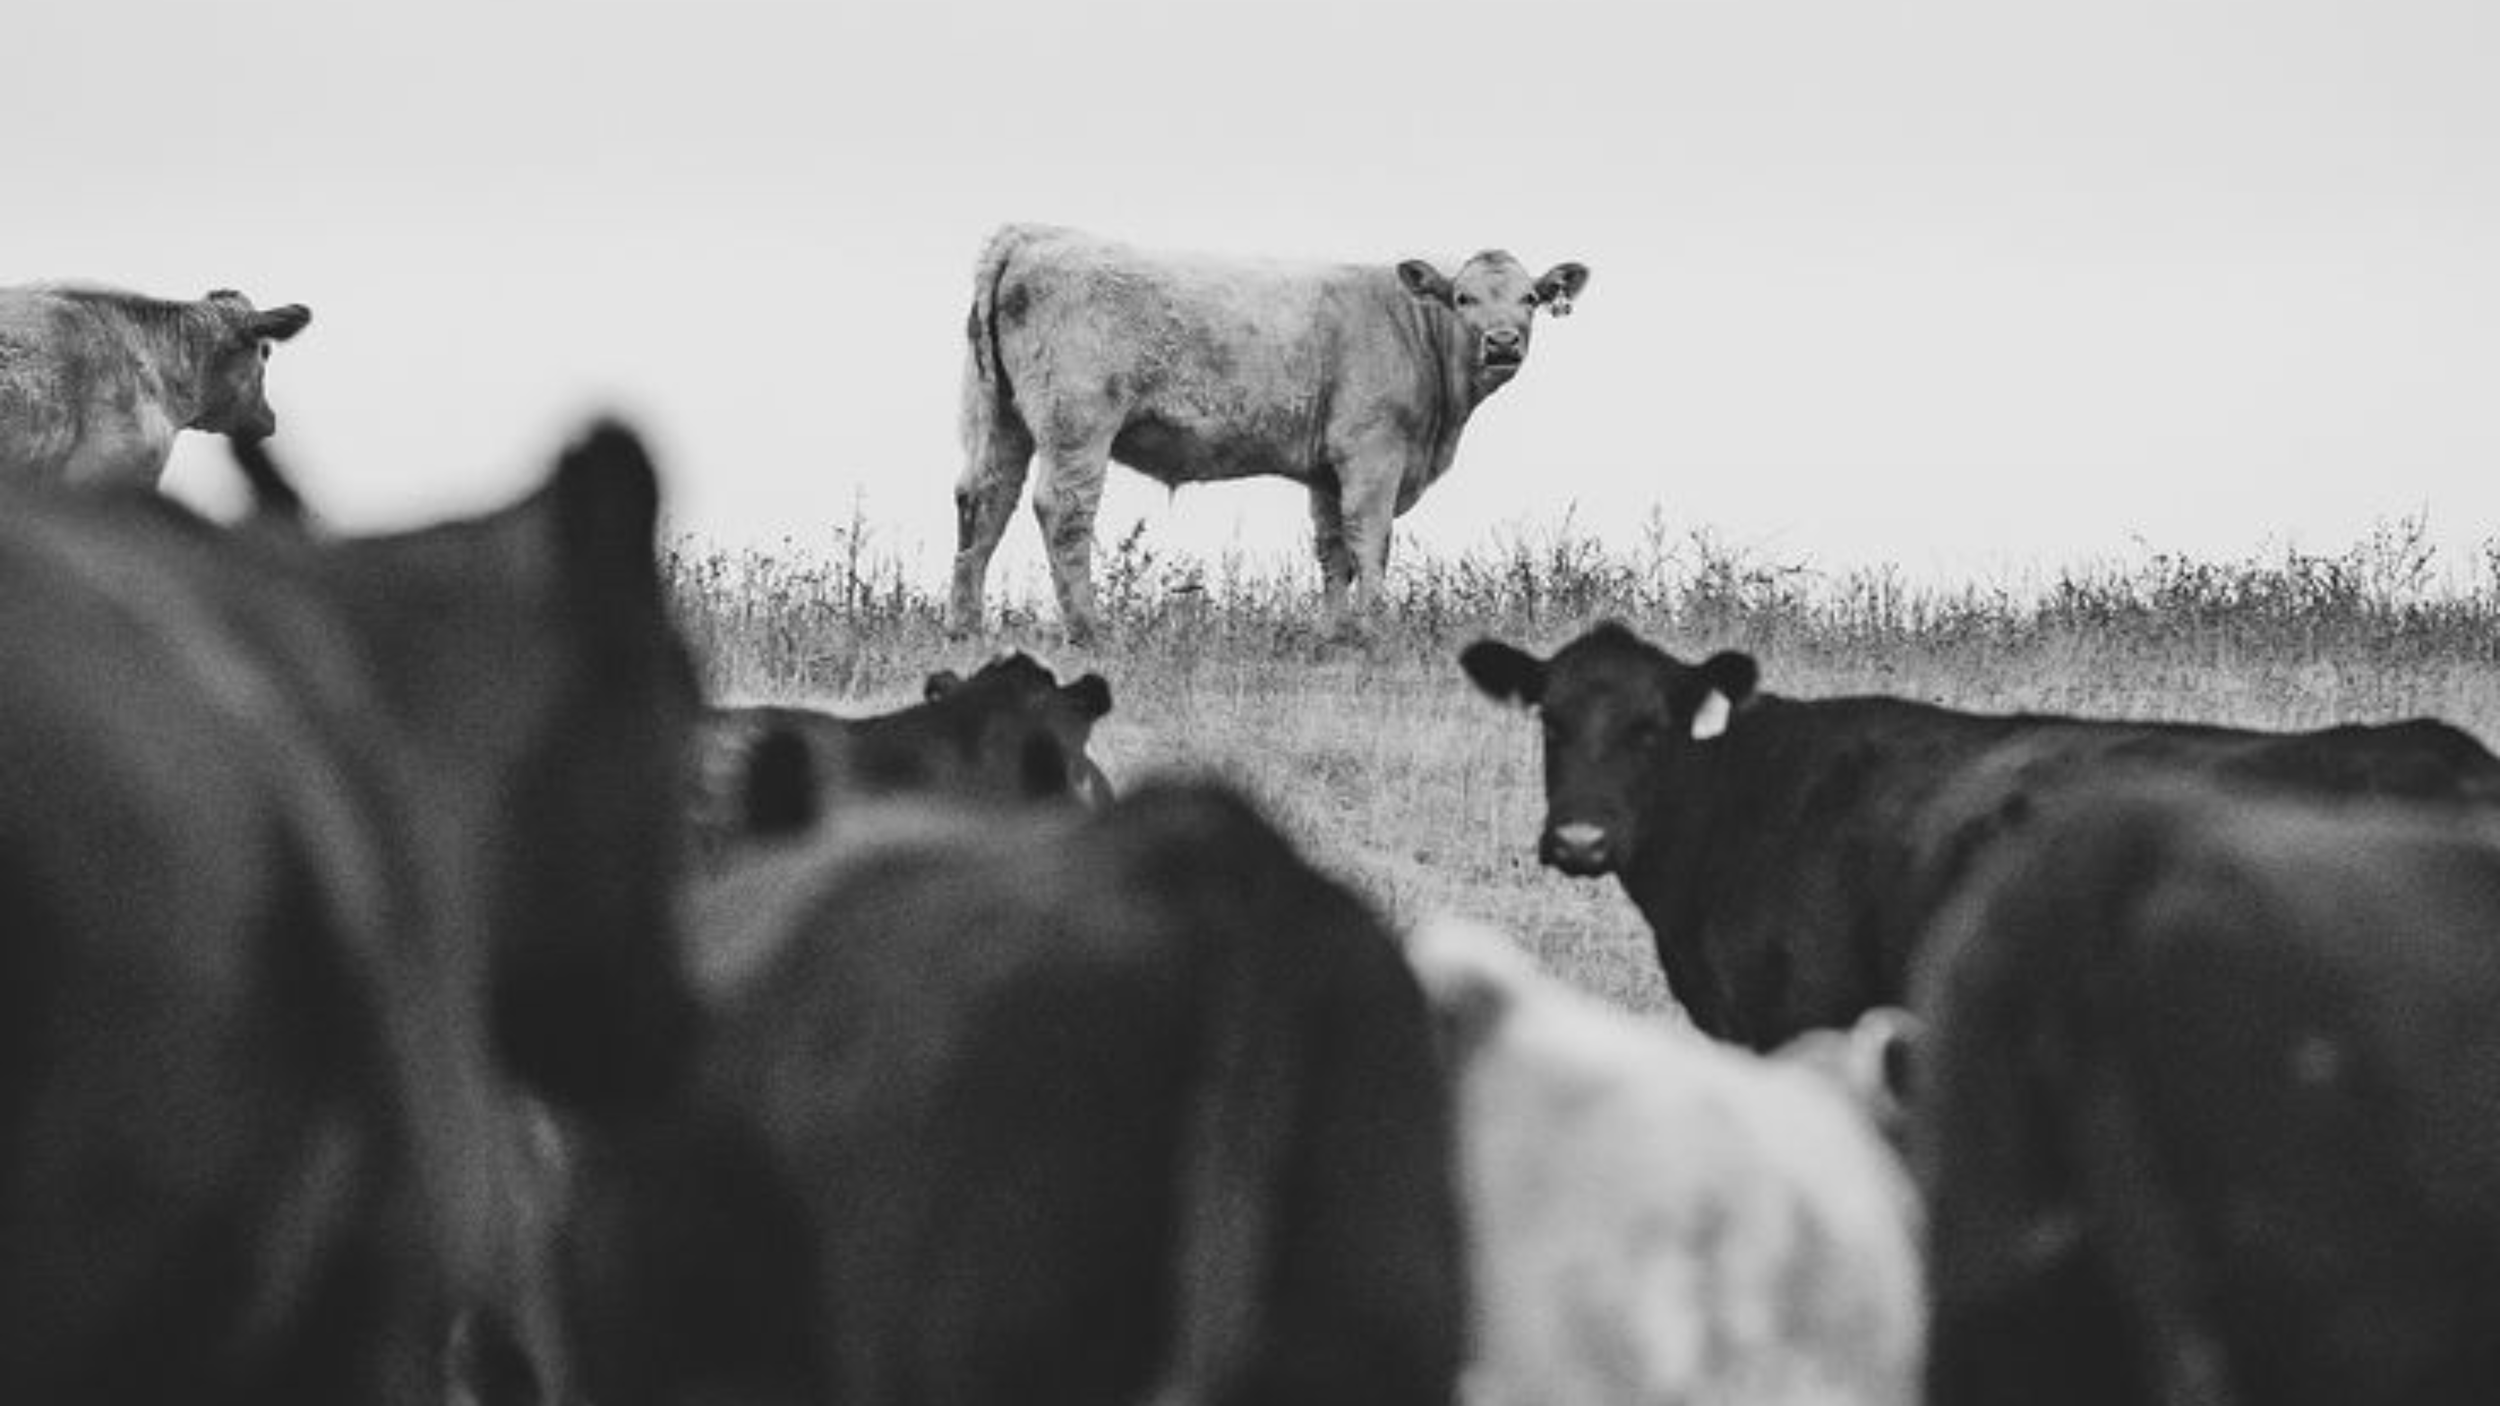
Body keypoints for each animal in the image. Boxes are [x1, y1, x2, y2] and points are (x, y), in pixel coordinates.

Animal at [951, 224, 1590, 642]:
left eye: (1531, 298)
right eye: (1463, 298)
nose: (1503, 342)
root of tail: (1030, 235)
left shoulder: (1327, 470)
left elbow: (1333, 549)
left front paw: (1332, 633)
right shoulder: (1372, 452)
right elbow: (1371, 538)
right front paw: (1373, 629)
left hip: (999, 418)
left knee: (983, 501)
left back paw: (966, 626)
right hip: (1077, 422)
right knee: (1063, 511)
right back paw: (1089, 629)